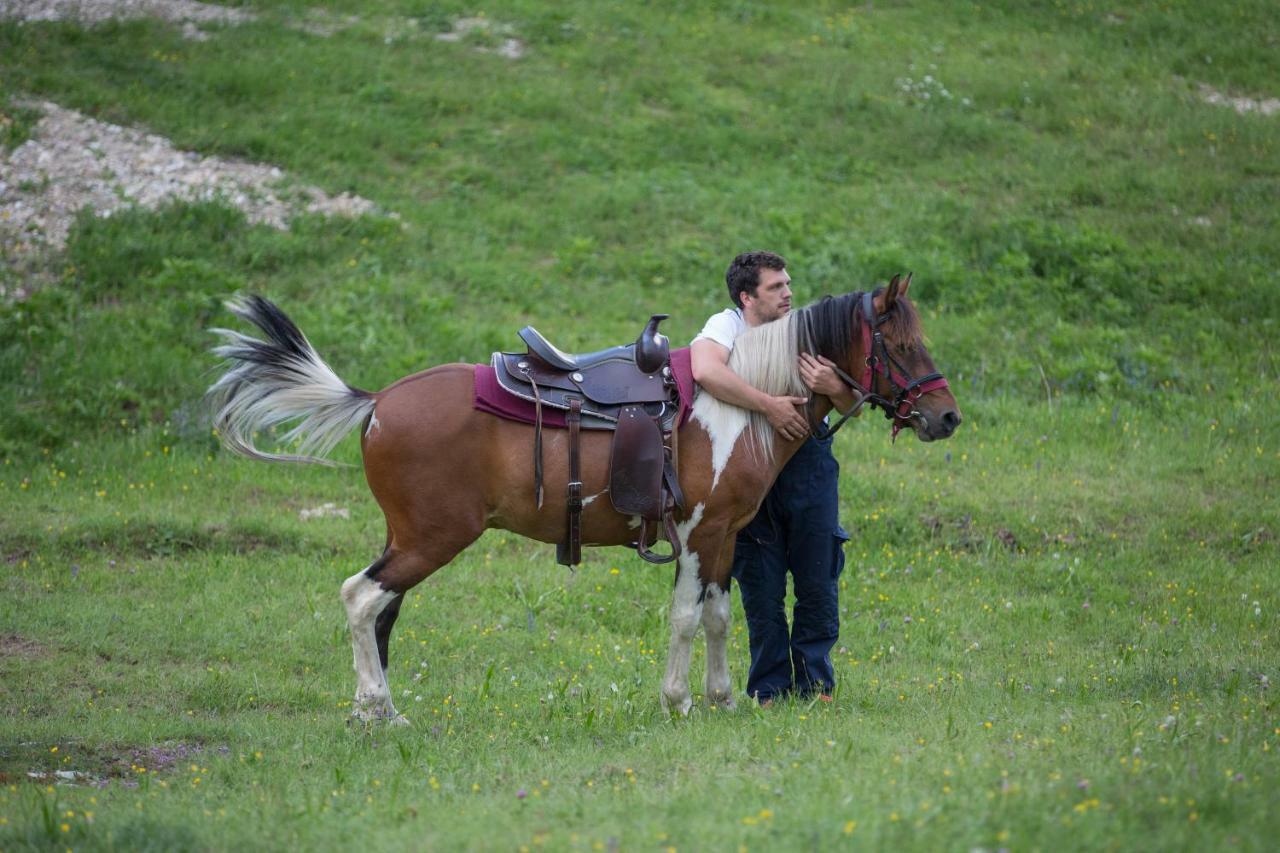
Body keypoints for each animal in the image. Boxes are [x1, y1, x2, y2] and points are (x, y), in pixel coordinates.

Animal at [207, 272, 962, 717]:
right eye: (899, 343)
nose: (947, 417)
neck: (741, 402)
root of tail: (376, 402)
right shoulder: (696, 532)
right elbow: (685, 618)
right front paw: (677, 701)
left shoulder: (725, 536)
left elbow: (721, 618)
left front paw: (721, 699)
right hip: (433, 537)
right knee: (361, 597)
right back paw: (377, 708)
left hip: (408, 537)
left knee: (381, 607)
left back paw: (377, 706)